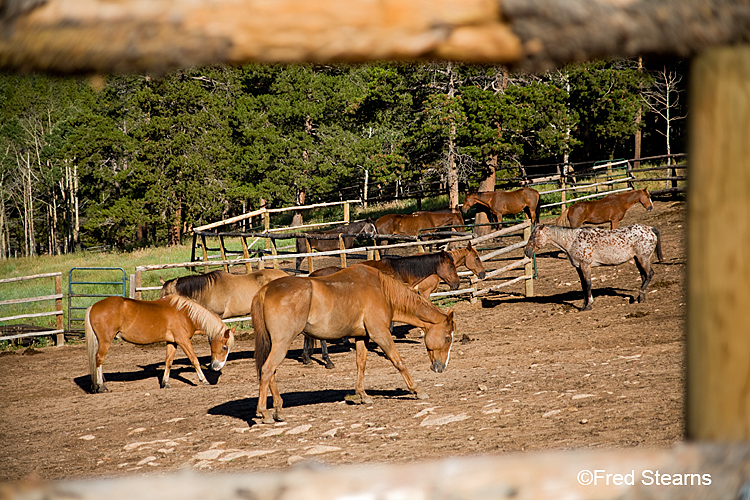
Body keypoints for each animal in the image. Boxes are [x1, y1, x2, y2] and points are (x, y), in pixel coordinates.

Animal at [84, 294, 235, 392]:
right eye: (224, 347)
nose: (217, 367)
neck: (185, 314)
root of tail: (93, 306)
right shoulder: (183, 340)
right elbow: (194, 359)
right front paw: (204, 380)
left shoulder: (172, 342)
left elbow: (168, 362)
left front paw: (165, 383)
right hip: (105, 341)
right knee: (99, 360)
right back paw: (101, 386)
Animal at [253, 264, 456, 424]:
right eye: (448, 337)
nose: (441, 367)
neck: (382, 291)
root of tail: (264, 291)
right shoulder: (380, 334)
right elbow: (398, 361)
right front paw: (416, 390)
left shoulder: (362, 337)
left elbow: (361, 364)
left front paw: (362, 395)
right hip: (282, 343)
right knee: (267, 370)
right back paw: (264, 413)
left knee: (270, 373)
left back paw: (278, 410)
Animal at [302, 252, 462, 370]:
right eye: (450, 265)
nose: (456, 284)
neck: (399, 271)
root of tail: (313, 276)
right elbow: (389, 329)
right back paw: (327, 361)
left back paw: (307, 358)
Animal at [524, 225, 668, 310]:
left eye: (534, 236)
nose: (527, 252)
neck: (573, 241)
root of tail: (650, 229)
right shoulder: (578, 267)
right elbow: (583, 285)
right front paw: (583, 305)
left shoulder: (585, 265)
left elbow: (588, 284)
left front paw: (588, 305)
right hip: (638, 259)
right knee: (644, 276)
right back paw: (640, 298)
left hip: (643, 258)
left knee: (649, 274)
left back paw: (641, 296)